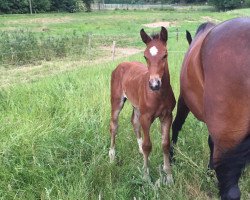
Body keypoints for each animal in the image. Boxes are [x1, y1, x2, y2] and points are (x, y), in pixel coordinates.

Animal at [109, 26, 176, 183]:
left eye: (165, 55)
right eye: (145, 56)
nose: (154, 84)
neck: (159, 95)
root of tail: (121, 64)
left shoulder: (167, 116)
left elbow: (165, 144)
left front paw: (169, 176)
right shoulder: (146, 117)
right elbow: (148, 145)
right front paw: (146, 176)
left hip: (137, 106)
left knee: (134, 122)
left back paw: (139, 151)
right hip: (116, 101)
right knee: (114, 125)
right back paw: (112, 156)